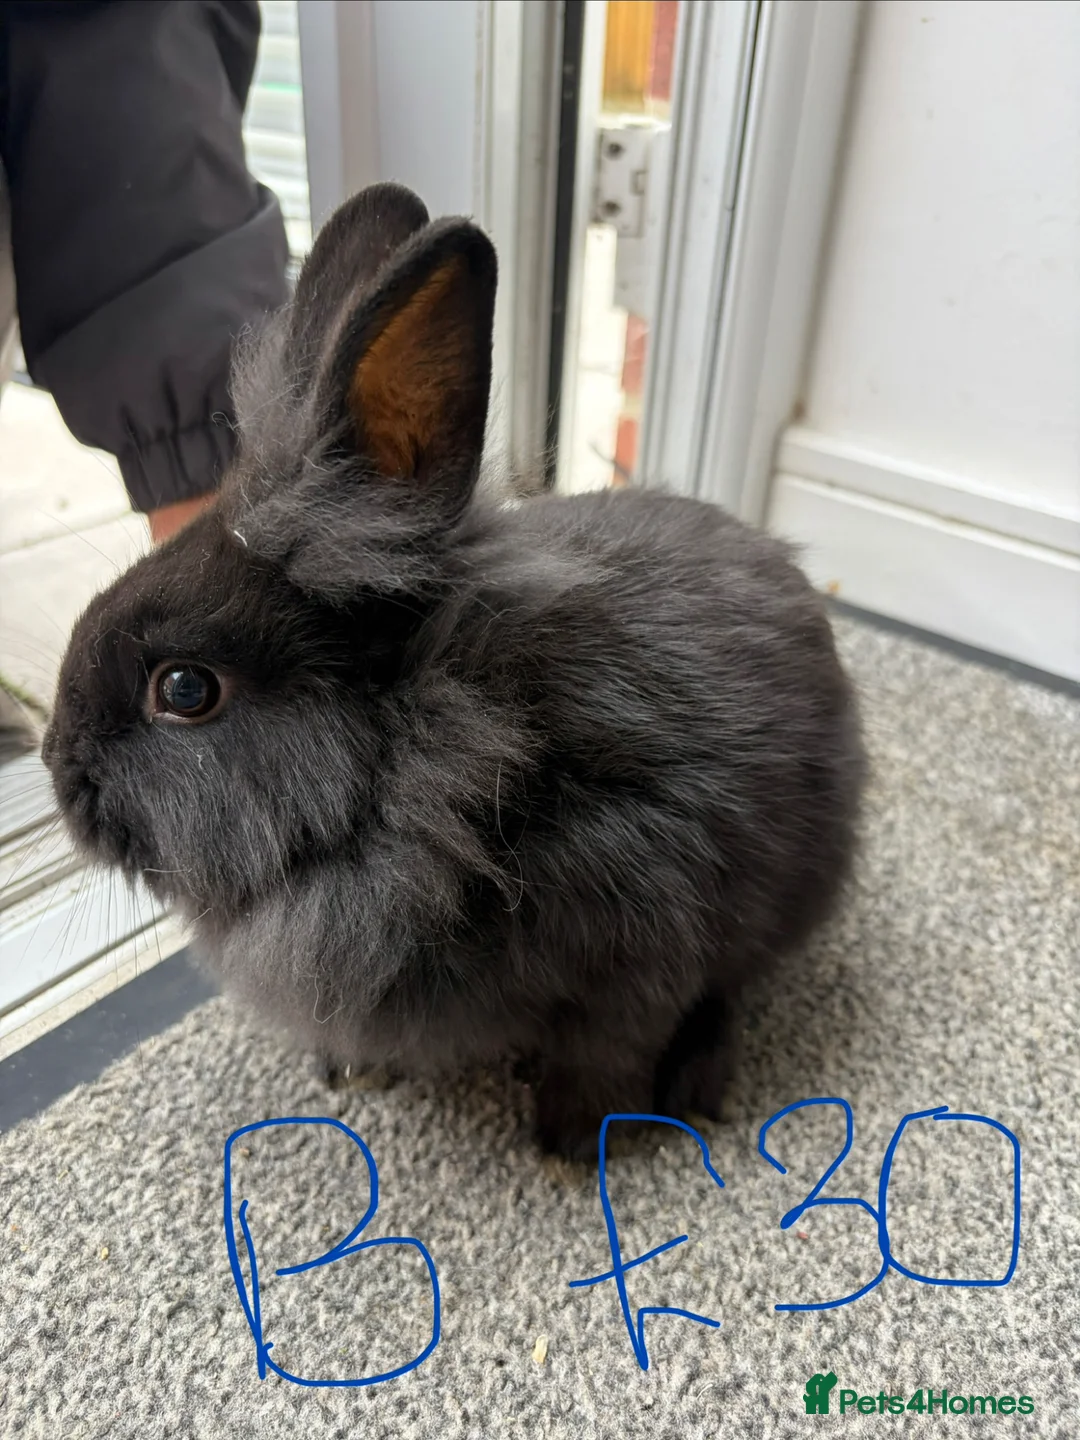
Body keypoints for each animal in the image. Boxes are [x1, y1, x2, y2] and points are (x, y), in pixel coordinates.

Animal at [43, 181, 865, 1161]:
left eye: (184, 690)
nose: (57, 769)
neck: (459, 764)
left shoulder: (644, 939)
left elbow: (609, 1051)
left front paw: (570, 1147)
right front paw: (349, 1070)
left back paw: (698, 1085)